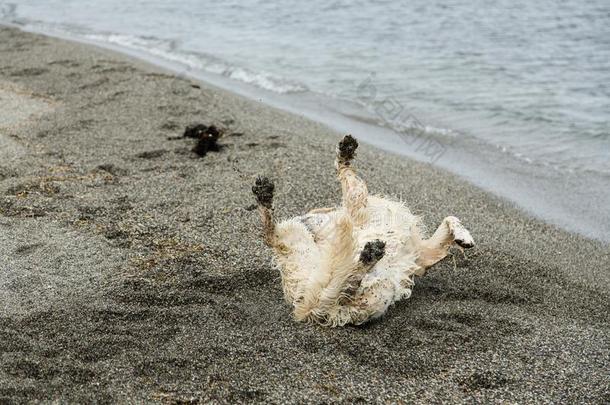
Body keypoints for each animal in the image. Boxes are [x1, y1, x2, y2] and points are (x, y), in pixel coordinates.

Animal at [249, 135, 472, 326]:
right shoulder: (357, 202)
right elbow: (347, 174)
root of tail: (306, 311)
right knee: (341, 286)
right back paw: (368, 257)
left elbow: (450, 218)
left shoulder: (423, 255)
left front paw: (463, 237)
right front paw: (345, 153)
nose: (304, 219)